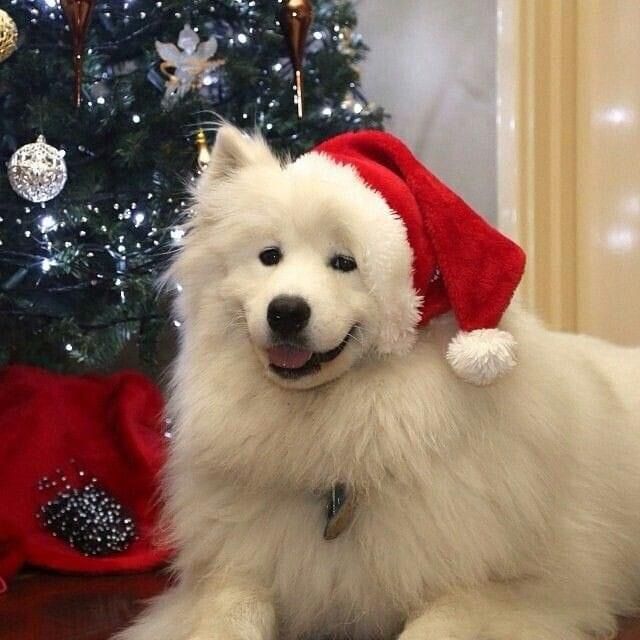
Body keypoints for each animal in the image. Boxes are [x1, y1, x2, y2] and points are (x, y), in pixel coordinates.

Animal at [117, 125, 640, 640]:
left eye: (345, 263)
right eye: (269, 256)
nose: (285, 311)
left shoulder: (512, 590)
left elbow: (438, 625)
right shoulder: (238, 567)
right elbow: (228, 614)